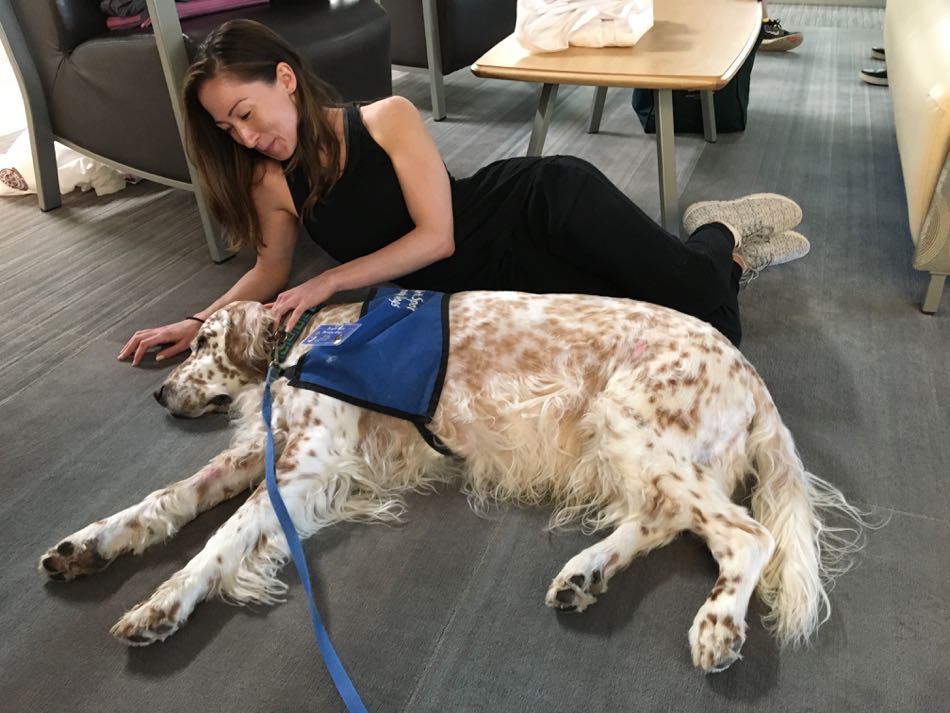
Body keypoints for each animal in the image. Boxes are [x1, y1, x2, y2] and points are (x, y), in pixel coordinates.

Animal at [41, 292, 868, 672]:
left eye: (206, 342)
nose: (158, 393)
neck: (303, 343)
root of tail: (753, 375)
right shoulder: (270, 455)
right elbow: (167, 499)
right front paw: (88, 544)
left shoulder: (307, 465)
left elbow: (220, 539)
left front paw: (160, 605)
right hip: (626, 441)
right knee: (669, 518)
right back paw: (585, 572)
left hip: (630, 417)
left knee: (744, 532)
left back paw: (717, 622)